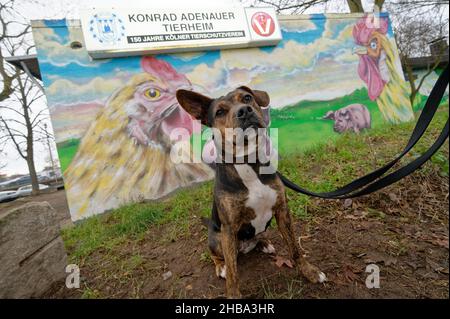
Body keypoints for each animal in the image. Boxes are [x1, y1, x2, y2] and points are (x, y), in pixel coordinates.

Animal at [174, 86, 326, 298]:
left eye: (247, 98)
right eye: (219, 112)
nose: (244, 111)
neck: (248, 162)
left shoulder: (282, 211)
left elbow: (295, 248)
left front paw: (309, 272)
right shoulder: (229, 229)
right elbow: (233, 273)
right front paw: (233, 294)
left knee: (258, 237)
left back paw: (263, 243)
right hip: (217, 238)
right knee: (217, 256)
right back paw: (221, 266)